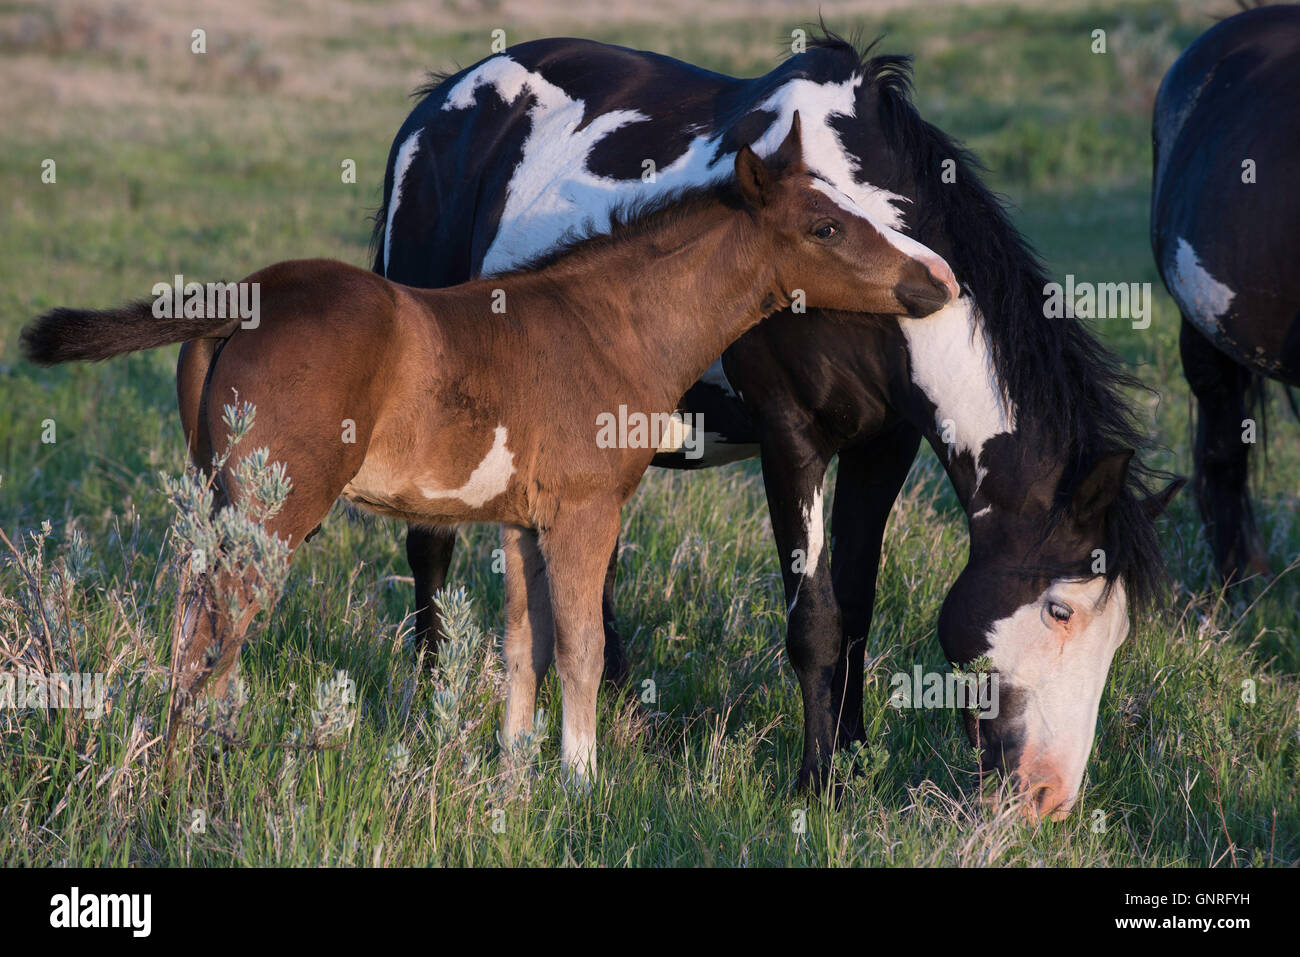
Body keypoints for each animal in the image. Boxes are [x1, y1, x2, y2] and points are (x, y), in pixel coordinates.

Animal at [20, 115, 956, 774]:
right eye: (825, 228)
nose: (938, 279)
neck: (610, 327)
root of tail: (244, 296)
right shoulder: (585, 513)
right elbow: (581, 647)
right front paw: (581, 783)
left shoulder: (520, 521)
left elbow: (521, 647)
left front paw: (514, 772)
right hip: (272, 511)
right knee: (216, 627)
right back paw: (185, 781)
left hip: (221, 499)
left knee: (190, 617)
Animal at [374, 33, 1180, 816]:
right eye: (1059, 611)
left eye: (1119, 631)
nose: (1050, 797)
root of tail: (439, 103)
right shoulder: (792, 438)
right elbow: (815, 622)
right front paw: (818, 783)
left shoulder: (883, 447)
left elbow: (855, 608)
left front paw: (854, 758)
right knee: (430, 549)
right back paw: (429, 708)